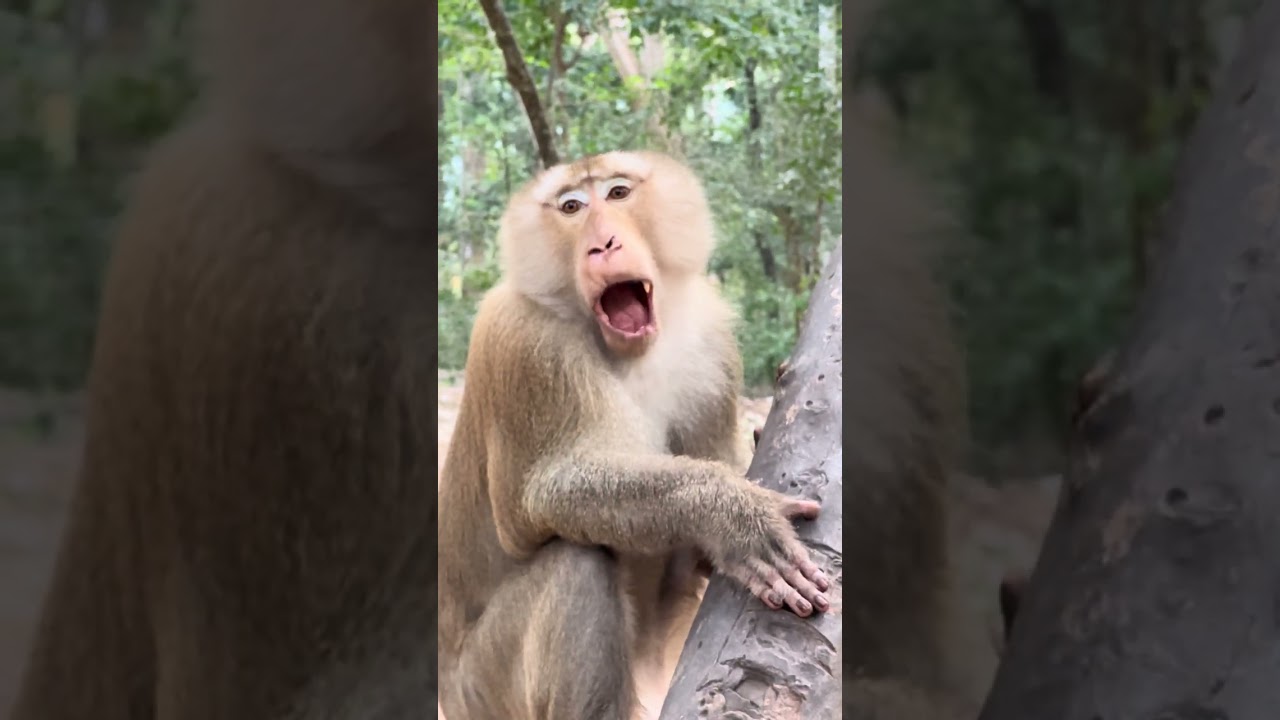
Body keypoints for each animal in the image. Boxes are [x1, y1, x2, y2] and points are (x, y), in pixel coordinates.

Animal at [436, 150, 832, 720]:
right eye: (572, 206)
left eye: (618, 193)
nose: (604, 244)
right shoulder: (524, 341)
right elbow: (542, 495)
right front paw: (734, 515)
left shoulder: (710, 338)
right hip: (486, 687)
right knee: (576, 562)